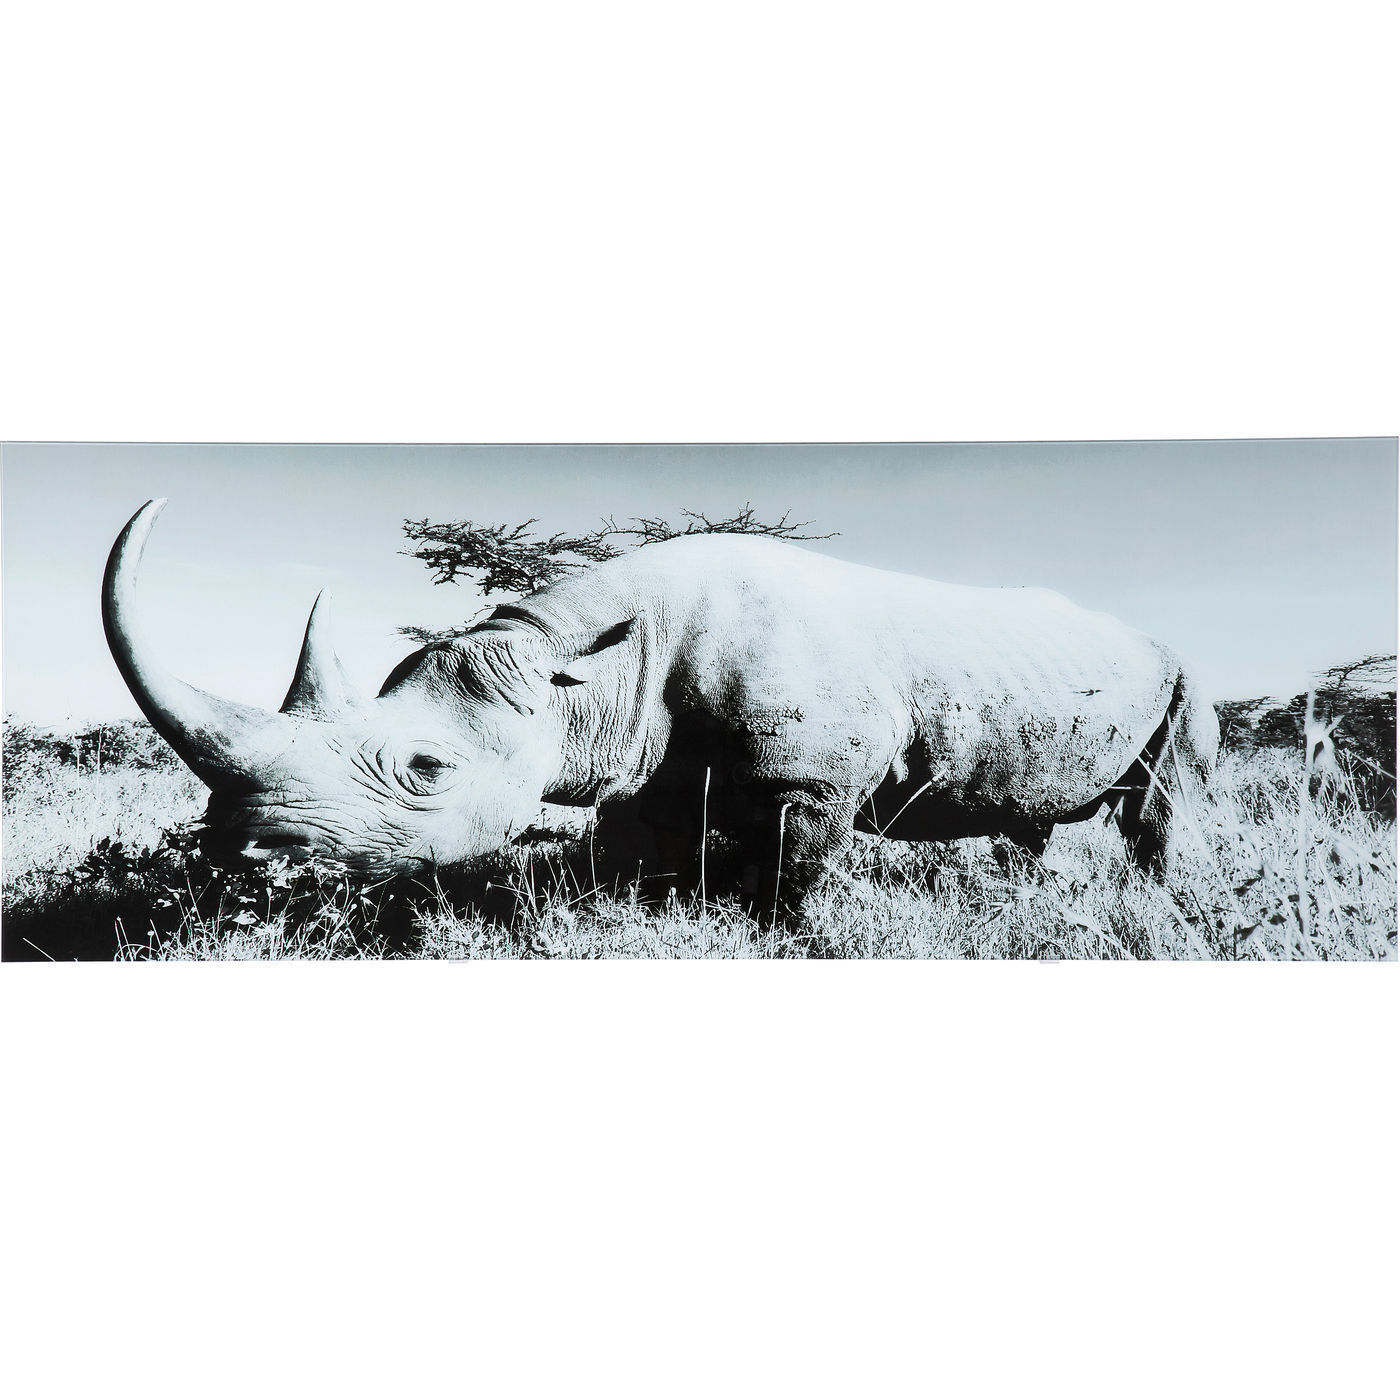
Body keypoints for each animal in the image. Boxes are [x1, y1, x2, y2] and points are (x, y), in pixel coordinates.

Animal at [104, 499, 1218, 918]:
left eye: (427, 768)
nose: (246, 859)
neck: (579, 672)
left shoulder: (813, 777)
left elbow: (796, 868)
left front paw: (789, 934)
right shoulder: (645, 759)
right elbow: (645, 854)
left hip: (1182, 669)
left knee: (1164, 798)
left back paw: (1159, 898)